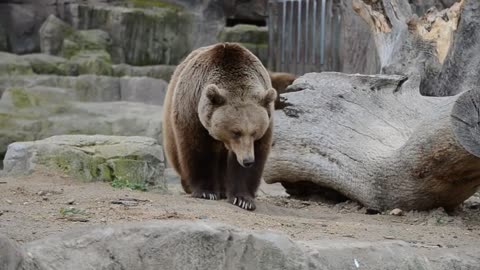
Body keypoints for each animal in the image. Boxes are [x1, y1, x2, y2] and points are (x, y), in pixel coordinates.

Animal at [163, 42, 276, 211]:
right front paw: (206, 192)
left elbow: (256, 154)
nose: (247, 160)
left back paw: (223, 189)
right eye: (236, 132)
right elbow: (198, 149)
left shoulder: (266, 120)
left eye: (255, 132)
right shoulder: (193, 111)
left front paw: (243, 199)